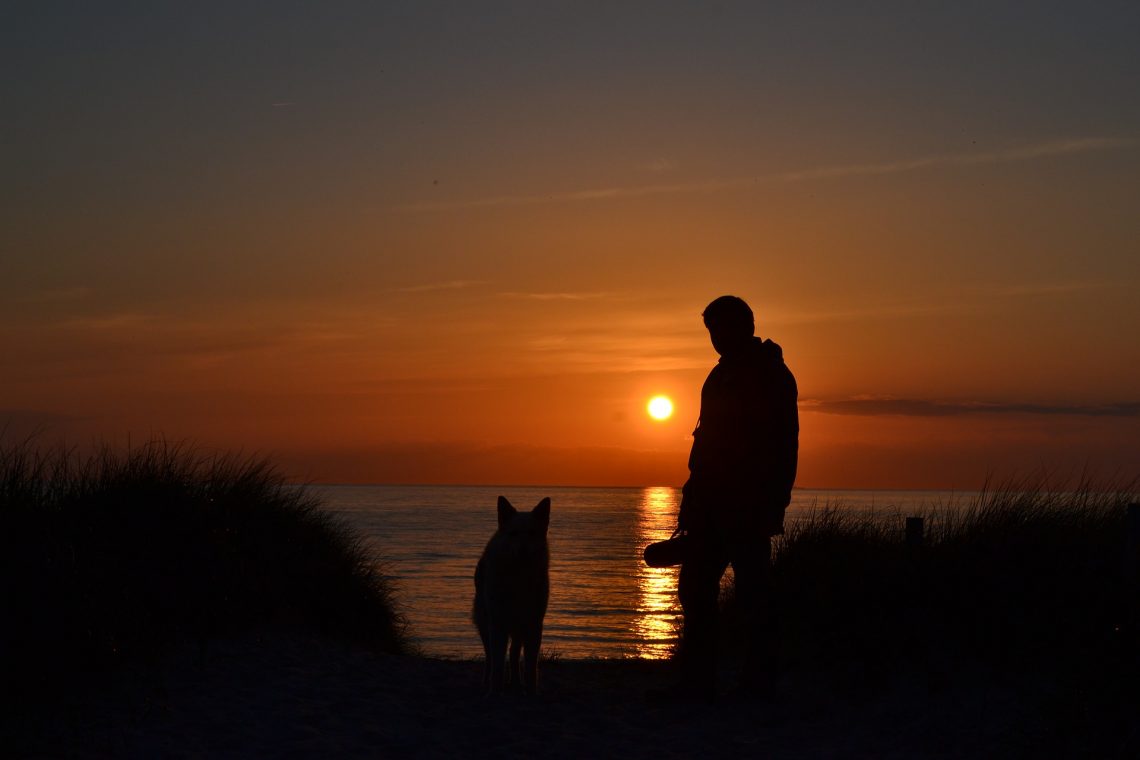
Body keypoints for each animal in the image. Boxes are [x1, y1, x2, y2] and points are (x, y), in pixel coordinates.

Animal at [471, 494, 551, 697]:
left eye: (532, 533)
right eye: (513, 533)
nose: (523, 550)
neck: (518, 580)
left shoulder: (533, 625)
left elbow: (530, 666)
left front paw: (531, 691)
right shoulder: (497, 624)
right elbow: (498, 664)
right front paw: (494, 692)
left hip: (518, 627)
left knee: (514, 655)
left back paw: (515, 681)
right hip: (485, 623)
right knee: (490, 657)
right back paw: (488, 680)